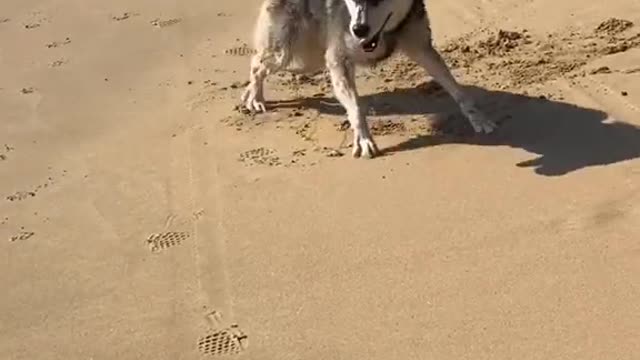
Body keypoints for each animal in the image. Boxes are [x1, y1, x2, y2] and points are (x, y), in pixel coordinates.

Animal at [240, 0, 496, 158]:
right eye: (353, 0)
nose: (358, 29)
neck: (385, 33)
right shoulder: (339, 59)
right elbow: (355, 107)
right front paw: (363, 138)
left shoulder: (422, 47)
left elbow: (457, 89)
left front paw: (478, 118)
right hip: (293, 53)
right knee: (258, 63)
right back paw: (254, 95)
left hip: (308, 58)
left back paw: (251, 94)